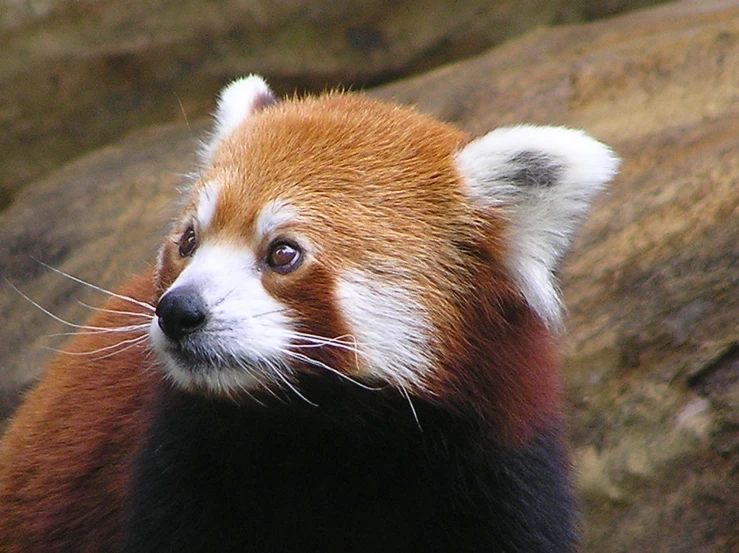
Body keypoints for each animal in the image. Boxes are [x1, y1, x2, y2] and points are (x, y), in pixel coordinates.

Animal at [0, 74, 620, 552]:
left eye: (283, 253)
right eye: (188, 241)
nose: (177, 310)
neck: (323, 435)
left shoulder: (501, 473)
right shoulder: (172, 476)